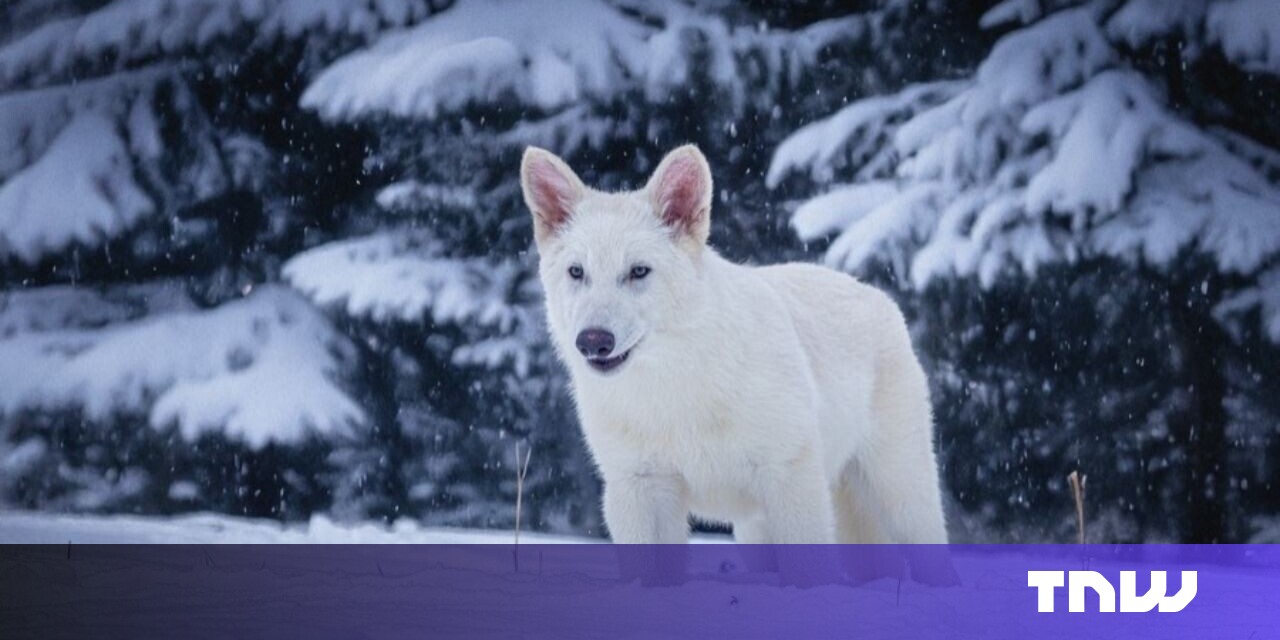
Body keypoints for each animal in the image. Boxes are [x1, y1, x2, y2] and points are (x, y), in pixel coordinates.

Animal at [521, 145, 950, 564]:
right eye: (577, 272)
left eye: (638, 271)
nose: (593, 341)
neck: (674, 392)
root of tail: (875, 293)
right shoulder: (640, 490)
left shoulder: (789, 479)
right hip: (757, 531)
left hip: (902, 496)